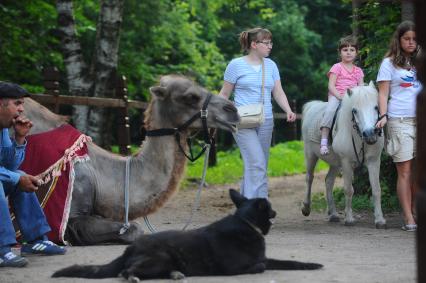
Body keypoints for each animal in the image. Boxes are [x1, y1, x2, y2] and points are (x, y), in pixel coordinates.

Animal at [51, 190, 322, 280]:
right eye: (270, 208)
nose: (275, 211)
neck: (245, 223)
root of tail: (130, 247)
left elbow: (289, 262)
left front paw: (312, 265)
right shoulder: (237, 267)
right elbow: (261, 265)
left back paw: (175, 275)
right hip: (159, 257)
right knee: (125, 272)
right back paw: (134, 277)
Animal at [300, 82, 386, 229]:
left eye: (376, 107)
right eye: (355, 110)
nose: (370, 134)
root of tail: (312, 105)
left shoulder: (374, 161)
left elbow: (376, 189)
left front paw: (380, 220)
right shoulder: (346, 163)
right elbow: (348, 190)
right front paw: (349, 219)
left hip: (335, 163)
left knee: (328, 181)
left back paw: (333, 214)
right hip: (310, 155)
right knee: (309, 178)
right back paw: (306, 208)